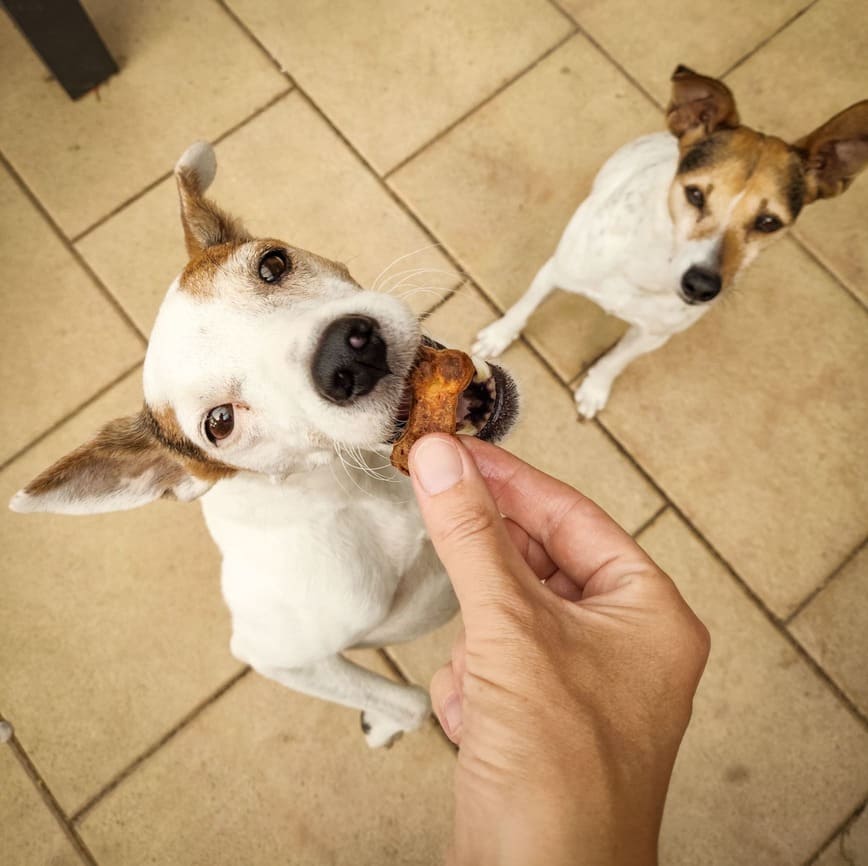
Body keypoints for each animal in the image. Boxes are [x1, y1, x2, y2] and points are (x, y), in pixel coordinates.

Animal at [10, 140, 520, 744]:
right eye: (219, 423)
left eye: (272, 264)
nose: (347, 356)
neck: (362, 494)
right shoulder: (276, 656)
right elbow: (414, 701)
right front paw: (390, 720)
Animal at [474, 66, 868, 416]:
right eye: (695, 194)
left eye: (768, 222)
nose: (701, 286)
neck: (648, 269)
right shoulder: (556, 271)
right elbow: (524, 308)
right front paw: (497, 336)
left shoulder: (654, 335)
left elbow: (617, 360)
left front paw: (596, 388)